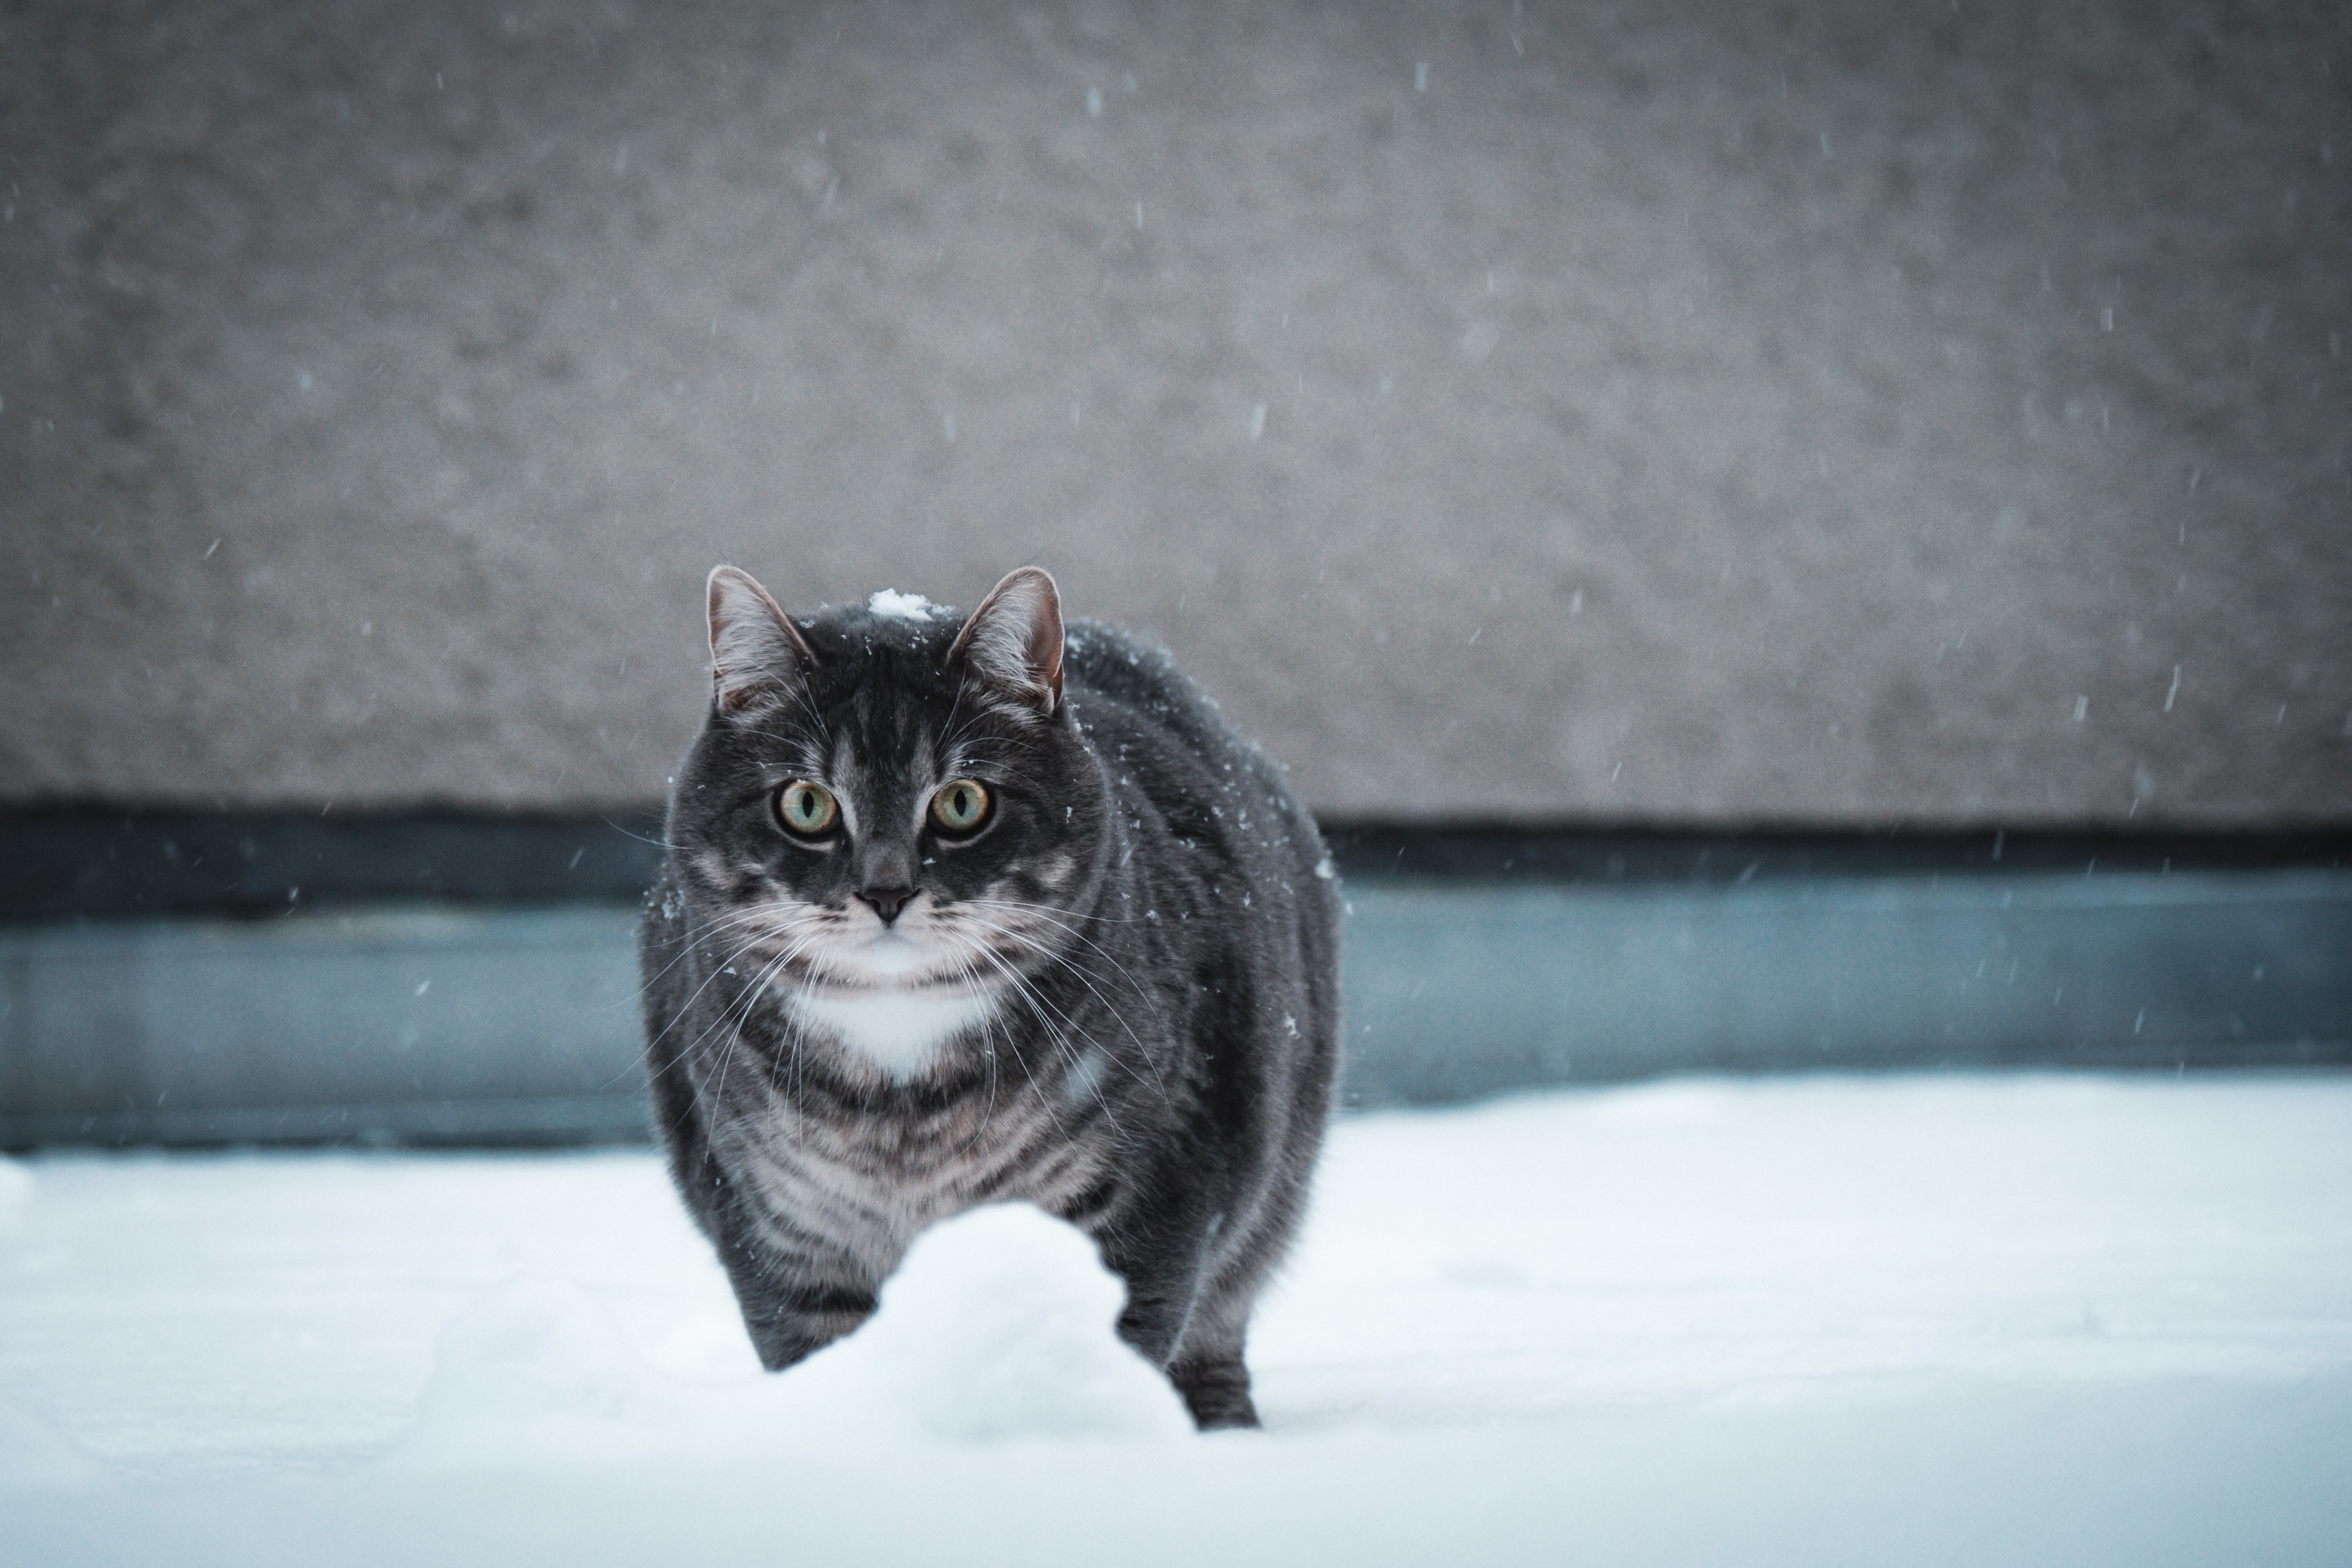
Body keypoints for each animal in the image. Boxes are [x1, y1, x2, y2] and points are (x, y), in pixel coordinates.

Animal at [640, 566, 1345, 1439]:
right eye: (805, 805)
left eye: (963, 803)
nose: (885, 891)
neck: (900, 1090)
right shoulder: (773, 1225)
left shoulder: (1155, 1192)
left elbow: (1112, 1340)